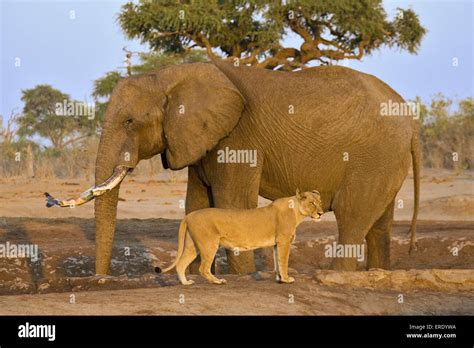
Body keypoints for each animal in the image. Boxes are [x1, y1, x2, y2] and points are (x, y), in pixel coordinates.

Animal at [46, 57, 420, 274]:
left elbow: (232, 202)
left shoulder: (238, 139)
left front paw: (240, 277)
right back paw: (377, 273)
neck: (168, 77)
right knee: (379, 226)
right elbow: (196, 204)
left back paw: (339, 274)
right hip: (385, 161)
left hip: (373, 157)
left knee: (352, 216)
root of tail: (410, 119)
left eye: (129, 122)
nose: (100, 279)